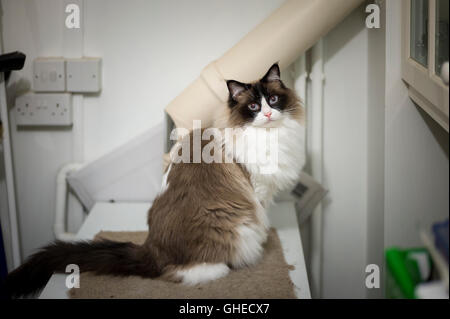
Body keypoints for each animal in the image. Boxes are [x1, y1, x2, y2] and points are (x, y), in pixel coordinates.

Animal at [3, 63, 306, 300]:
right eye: (253, 106)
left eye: (273, 100)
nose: (268, 114)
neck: (271, 136)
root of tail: (151, 250)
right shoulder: (257, 191)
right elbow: (262, 217)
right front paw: (265, 241)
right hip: (233, 225)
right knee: (181, 272)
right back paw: (220, 268)